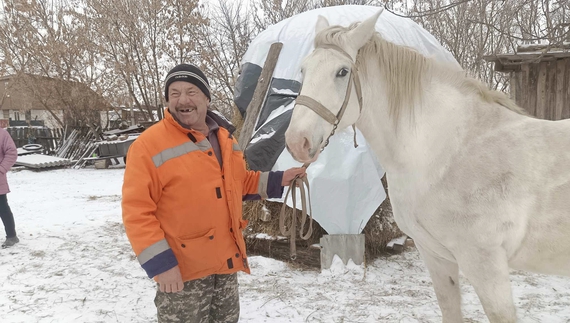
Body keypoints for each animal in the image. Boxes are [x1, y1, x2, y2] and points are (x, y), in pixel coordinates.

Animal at [284, 8, 568, 322]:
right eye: (304, 70)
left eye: (342, 72)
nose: (296, 141)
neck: (448, 152)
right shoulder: (436, 256)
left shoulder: (485, 264)